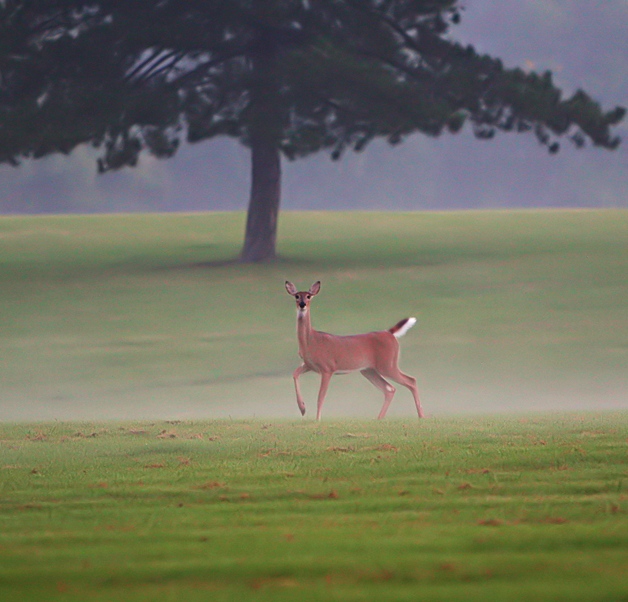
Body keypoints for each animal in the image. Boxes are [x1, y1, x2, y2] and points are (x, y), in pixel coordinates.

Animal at [286, 278, 424, 420]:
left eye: (309, 296)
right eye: (297, 296)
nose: (302, 304)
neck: (311, 342)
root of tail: (389, 333)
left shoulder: (327, 367)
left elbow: (321, 397)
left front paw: (317, 419)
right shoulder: (309, 364)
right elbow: (295, 373)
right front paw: (302, 408)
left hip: (387, 364)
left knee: (411, 380)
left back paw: (421, 416)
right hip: (369, 370)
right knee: (390, 389)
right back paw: (379, 418)